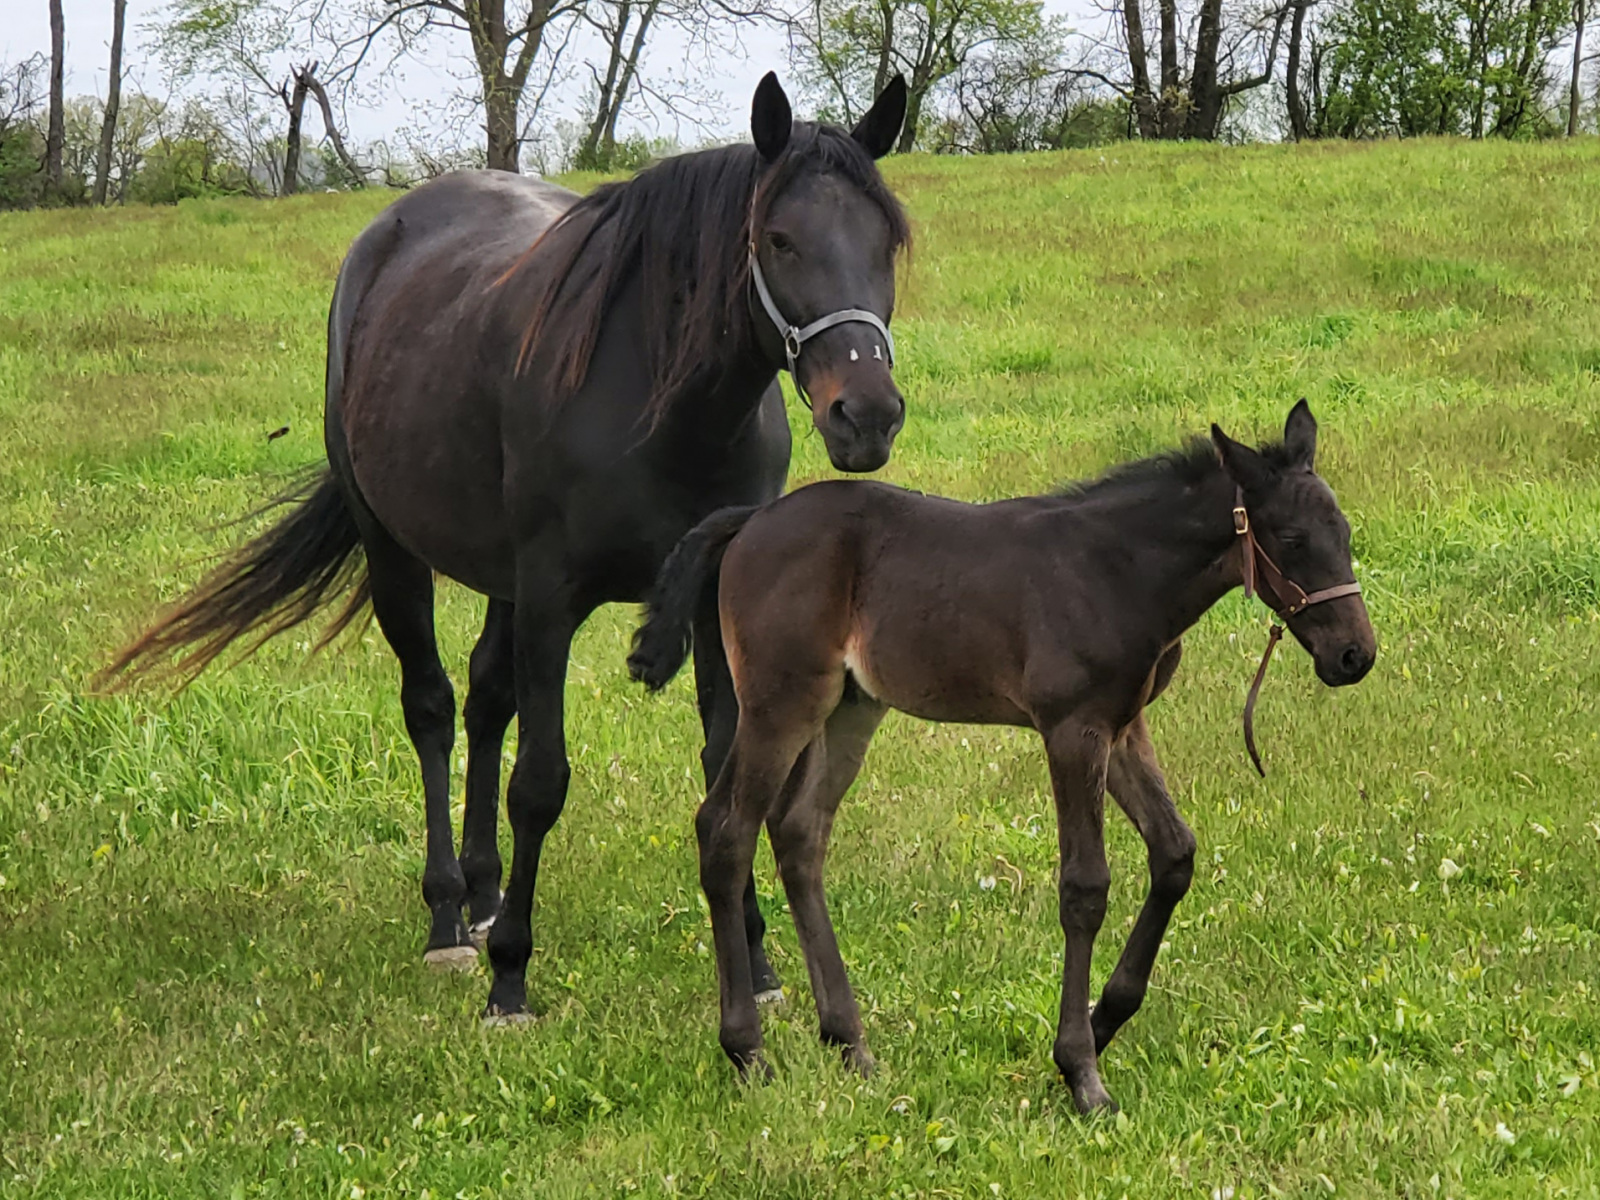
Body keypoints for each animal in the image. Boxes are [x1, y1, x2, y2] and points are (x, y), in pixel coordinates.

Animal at [103, 72, 913, 1024]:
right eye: (779, 239)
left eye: (886, 242)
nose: (866, 414)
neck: (660, 403)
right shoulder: (553, 600)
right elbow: (541, 782)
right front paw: (512, 979)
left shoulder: (710, 607)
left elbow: (727, 767)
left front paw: (754, 964)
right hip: (398, 556)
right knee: (433, 707)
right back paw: (452, 918)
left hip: (502, 582)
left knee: (488, 700)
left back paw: (486, 893)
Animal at [628, 400, 1376, 1111]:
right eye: (1291, 540)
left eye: (1344, 533)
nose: (1355, 655)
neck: (1119, 570)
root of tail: (750, 522)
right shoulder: (1071, 728)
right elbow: (1085, 887)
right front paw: (1081, 1071)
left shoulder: (1122, 726)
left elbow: (1175, 853)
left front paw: (1105, 1019)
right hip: (779, 703)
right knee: (726, 829)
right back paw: (747, 1050)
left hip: (850, 707)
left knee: (798, 830)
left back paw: (850, 1044)